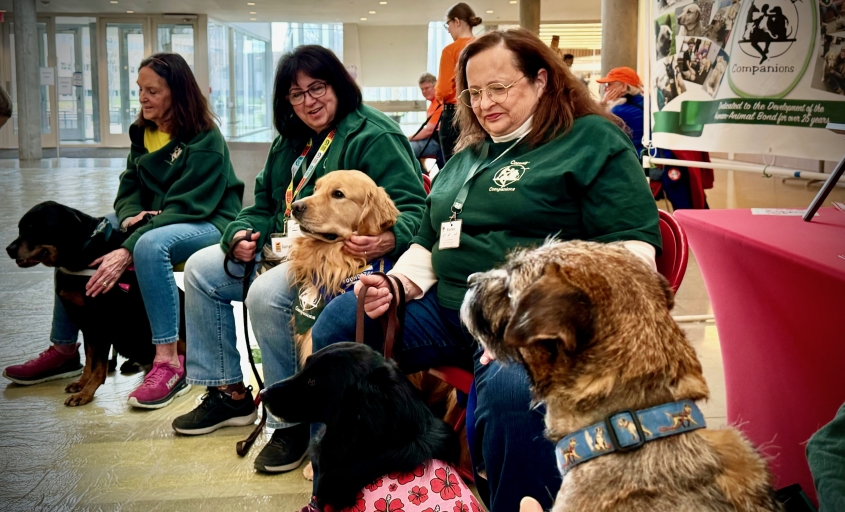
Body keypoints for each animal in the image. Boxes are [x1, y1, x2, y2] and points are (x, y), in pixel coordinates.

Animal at [4, 202, 181, 406]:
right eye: (20, 228)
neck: (82, 255)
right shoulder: (85, 320)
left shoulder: (102, 320)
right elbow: (89, 357)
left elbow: (98, 364)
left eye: (35, 229)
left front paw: (86, 393)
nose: (9, 249)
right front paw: (81, 383)